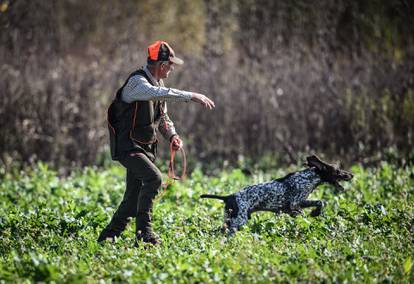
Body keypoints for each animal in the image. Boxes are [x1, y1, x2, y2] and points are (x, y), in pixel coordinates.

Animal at [200, 156, 352, 234]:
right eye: (337, 170)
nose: (351, 174)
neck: (308, 178)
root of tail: (229, 196)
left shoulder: (294, 206)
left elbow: (315, 205)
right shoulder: (295, 203)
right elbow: (319, 202)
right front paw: (314, 213)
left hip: (232, 219)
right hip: (238, 220)